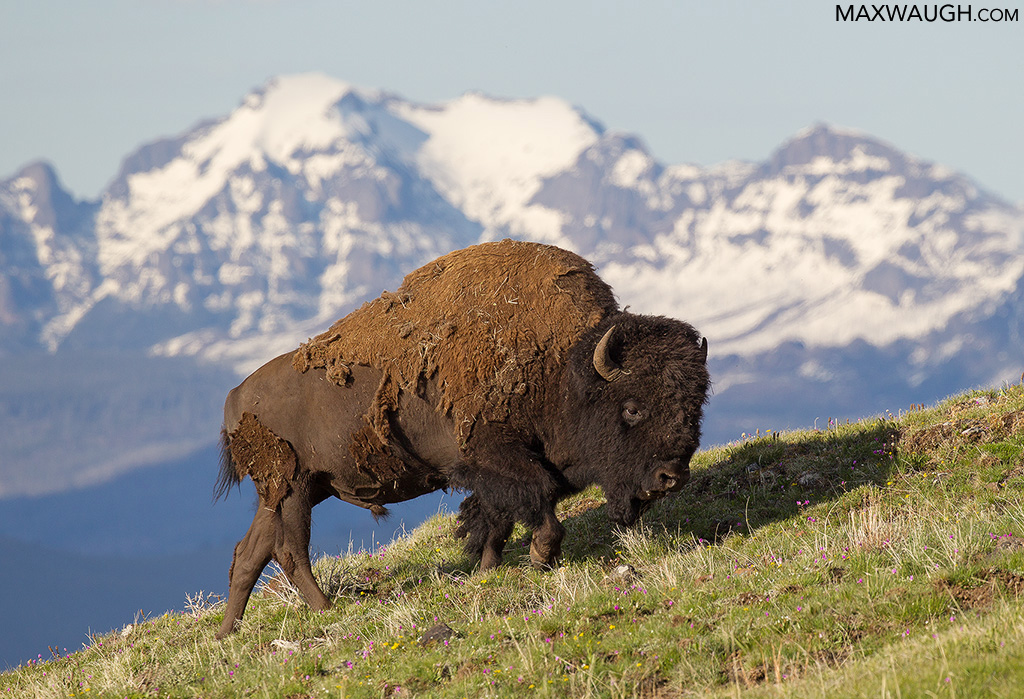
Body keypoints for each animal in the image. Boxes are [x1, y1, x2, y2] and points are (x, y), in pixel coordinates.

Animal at [214, 239, 709, 638]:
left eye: (696, 403)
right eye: (632, 407)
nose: (672, 476)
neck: (565, 369)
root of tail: (235, 398)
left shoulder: (495, 473)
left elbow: (495, 519)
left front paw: (488, 568)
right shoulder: (499, 458)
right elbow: (539, 507)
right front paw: (539, 558)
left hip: (285, 494)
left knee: (250, 552)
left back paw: (227, 632)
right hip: (294, 489)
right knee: (290, 550)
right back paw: (325, 609)